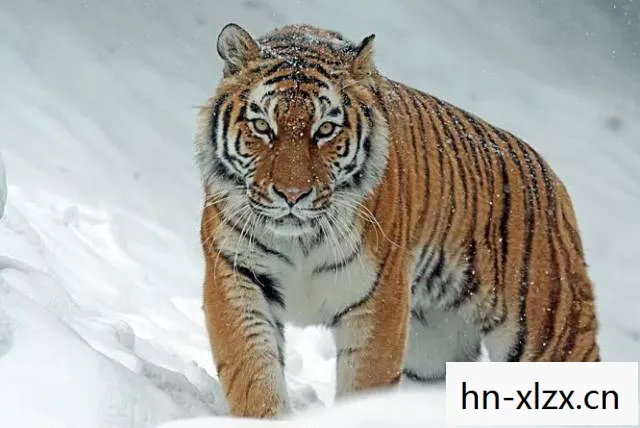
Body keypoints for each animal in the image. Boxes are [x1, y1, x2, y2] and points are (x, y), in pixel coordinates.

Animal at [195, 23, 600, 418]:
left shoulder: (378, 299)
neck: (301, 240)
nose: (292, 195)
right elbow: (253, 374)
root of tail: (552, 180)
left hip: (551, 334)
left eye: (325, 130)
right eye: (263, 126)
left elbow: (364, 385)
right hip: (435, 348)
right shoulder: (237, 276)